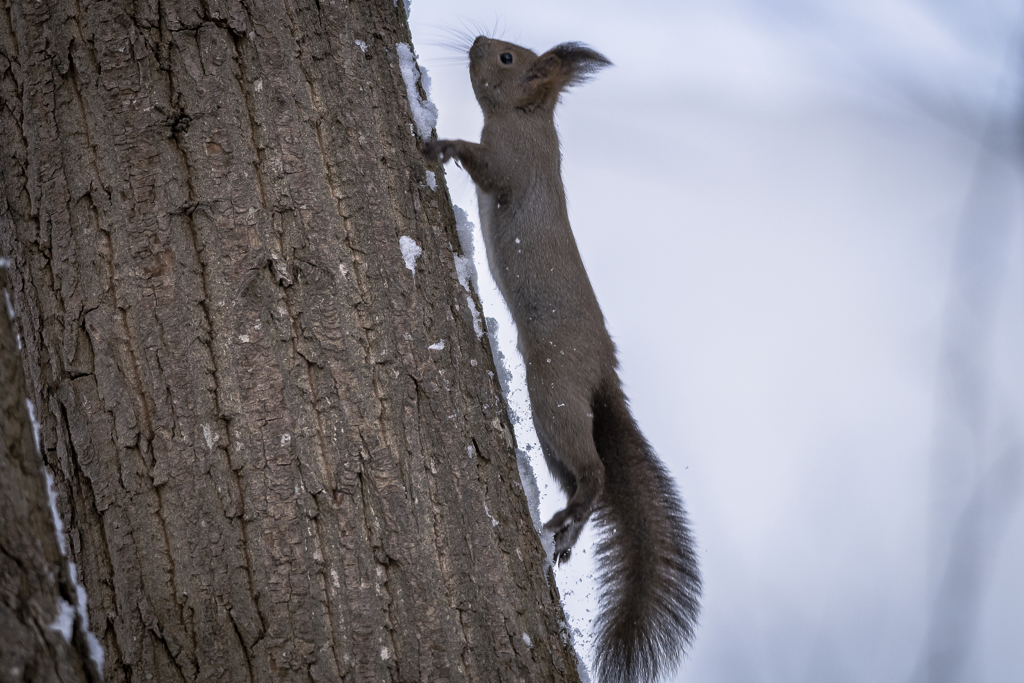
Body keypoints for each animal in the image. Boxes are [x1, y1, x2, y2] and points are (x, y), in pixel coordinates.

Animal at [419, 36, 700, 683]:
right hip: (556, 423)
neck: (529, 120)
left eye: (506, 58)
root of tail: (603, 371)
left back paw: (563, 521)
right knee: (583, 474)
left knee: (594, 472)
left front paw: (442, 145)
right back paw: (568, 532)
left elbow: (487, 168)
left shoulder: (511, 164)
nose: (476, 42)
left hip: (553, 390)